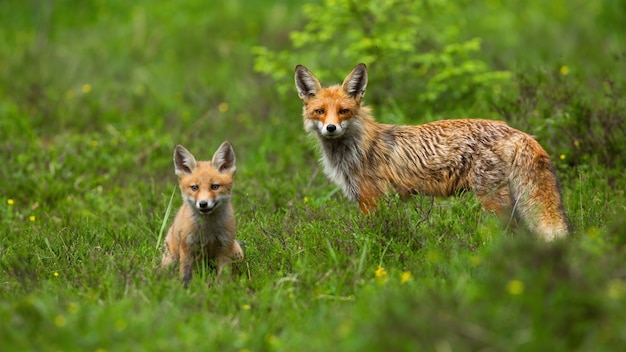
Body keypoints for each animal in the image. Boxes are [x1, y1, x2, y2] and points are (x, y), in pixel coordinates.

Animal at [160, 142, 243, 288]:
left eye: (215, 187)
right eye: (194, 188)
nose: (203, 204)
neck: (207, 231)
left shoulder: (225, 247)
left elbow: (224, 277)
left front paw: (224, 289)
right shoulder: (187, 247)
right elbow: (186, 275)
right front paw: (185, 289)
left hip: (237, 252)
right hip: (171, 260)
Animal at [294, 63, 568, 239]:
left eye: (343, 111)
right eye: (320, 111)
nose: (331, 128)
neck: (356, 149)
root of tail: (515, 130)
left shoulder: (371, 199)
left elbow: (372, 238)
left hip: (492, 201)